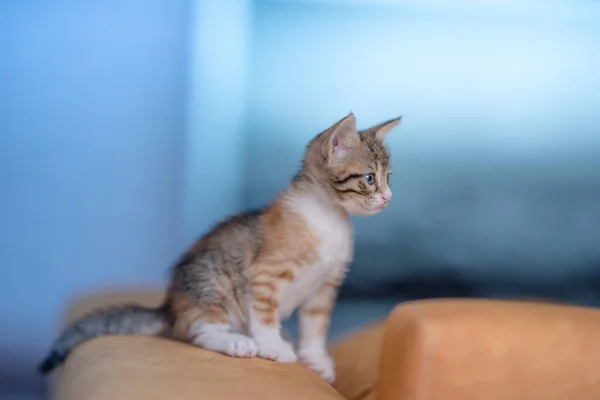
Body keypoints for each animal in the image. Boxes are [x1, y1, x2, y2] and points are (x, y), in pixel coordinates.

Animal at [38, 111, 404, 382]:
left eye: (389, 177)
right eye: (369, 178)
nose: (388, 197)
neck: (328, 218)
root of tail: (169, 307)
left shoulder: (324, 286)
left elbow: (316, 327)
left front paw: (315, 359)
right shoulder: (266, 274)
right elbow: (265, 315)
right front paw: (273, 347)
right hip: (212, 287)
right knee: (195, 331)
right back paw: (237, 342)